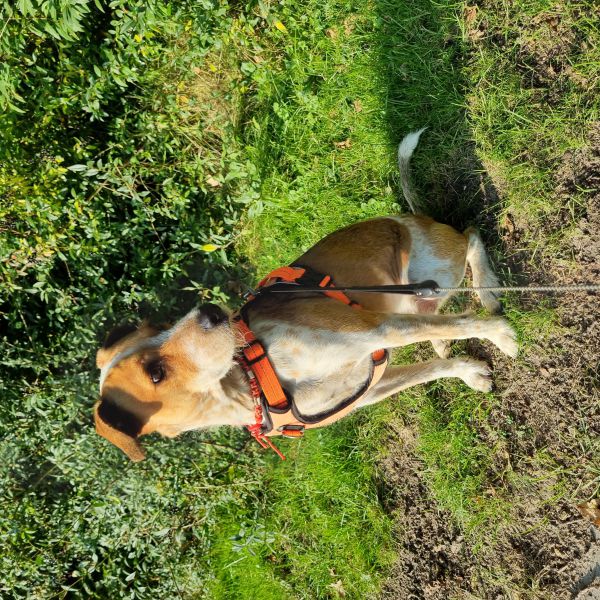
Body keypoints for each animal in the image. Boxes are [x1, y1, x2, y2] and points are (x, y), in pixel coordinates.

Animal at [94, 130, 516, 460]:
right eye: (156, 373)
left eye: (158, 325)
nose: (211, 311)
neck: (255, 379)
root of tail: (416, 215)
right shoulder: (371, 385)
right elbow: (432, 367)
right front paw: (469, 371)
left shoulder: (374, 329)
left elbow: (464, 323)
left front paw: (498, 334)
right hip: (414, 295)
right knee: (437, 313)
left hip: (437, 271)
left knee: (472, 239)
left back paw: (487, 291)